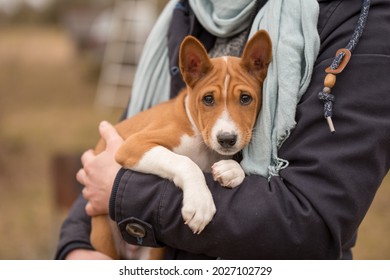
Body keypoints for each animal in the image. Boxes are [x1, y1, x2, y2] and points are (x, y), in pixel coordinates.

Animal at [90, 29, 272, 260]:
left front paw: (231, 170)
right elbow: (184, 162)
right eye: (208, 99)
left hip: (153, 252)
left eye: (246, 98)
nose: (226, 139)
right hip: (103, 238)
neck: (200, 139)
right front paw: (200, 203)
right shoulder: (134, 145)